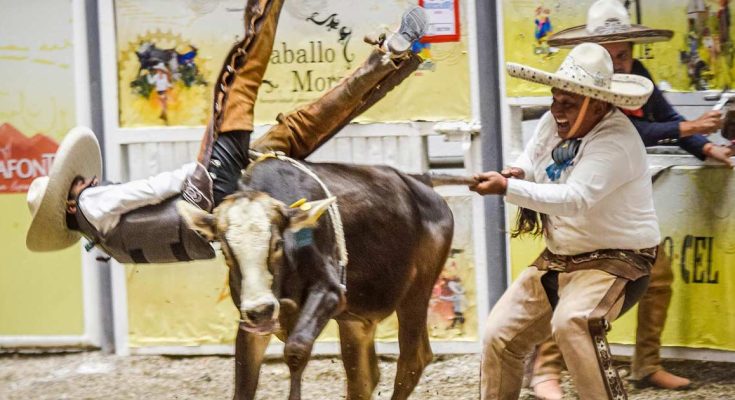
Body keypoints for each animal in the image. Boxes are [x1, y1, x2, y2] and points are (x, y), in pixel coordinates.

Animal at [178, 157, 454, 400]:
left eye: (277, 243)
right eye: (225, 251)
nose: (261, 309)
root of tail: (420, 184)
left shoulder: (329, 292)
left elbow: (296, 350)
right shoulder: (252, 322)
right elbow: (244, 382)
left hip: (416, 293)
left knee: (412, 360)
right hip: (356, 322)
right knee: (364, 379)